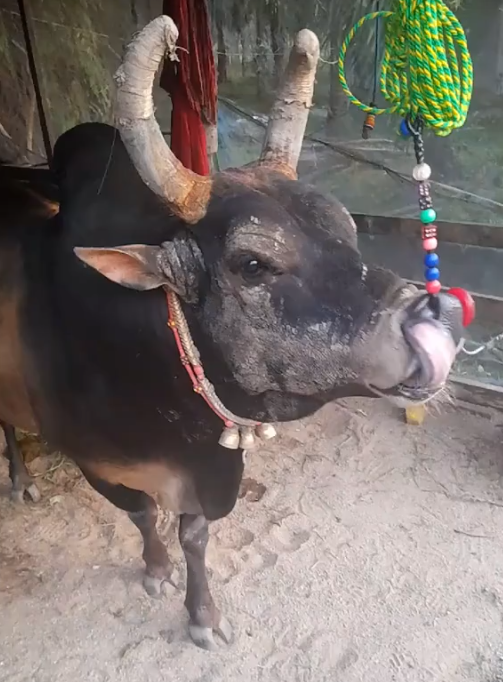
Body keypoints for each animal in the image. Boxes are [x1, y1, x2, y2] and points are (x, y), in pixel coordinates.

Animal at [0, 17, 466, 650]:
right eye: (251, 264)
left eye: (348, 233)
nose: (434, 321)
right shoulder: (96, 464)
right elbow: (144, 515)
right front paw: (156, 570)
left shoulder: (211, 470)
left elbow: (194, 535)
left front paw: (203, 615)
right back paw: (21, 479)